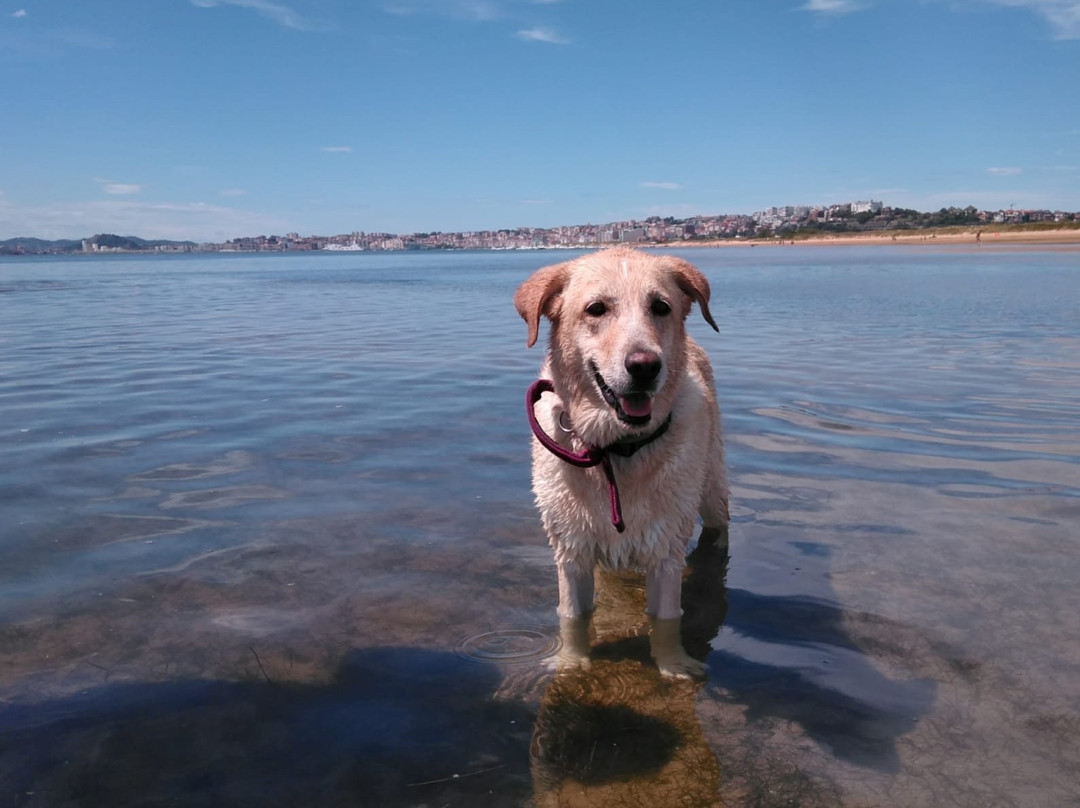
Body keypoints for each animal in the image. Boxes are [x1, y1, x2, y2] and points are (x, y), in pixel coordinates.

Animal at [511, 249, 725, 678]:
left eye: (660, 307)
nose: (645, 365)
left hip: (712, 492)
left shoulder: (666, 550)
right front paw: (571, 663)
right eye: (596, 308)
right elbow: (573, 616)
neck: (617, 448)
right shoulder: (571, 550)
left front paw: (672, 666)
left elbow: (666, 618)